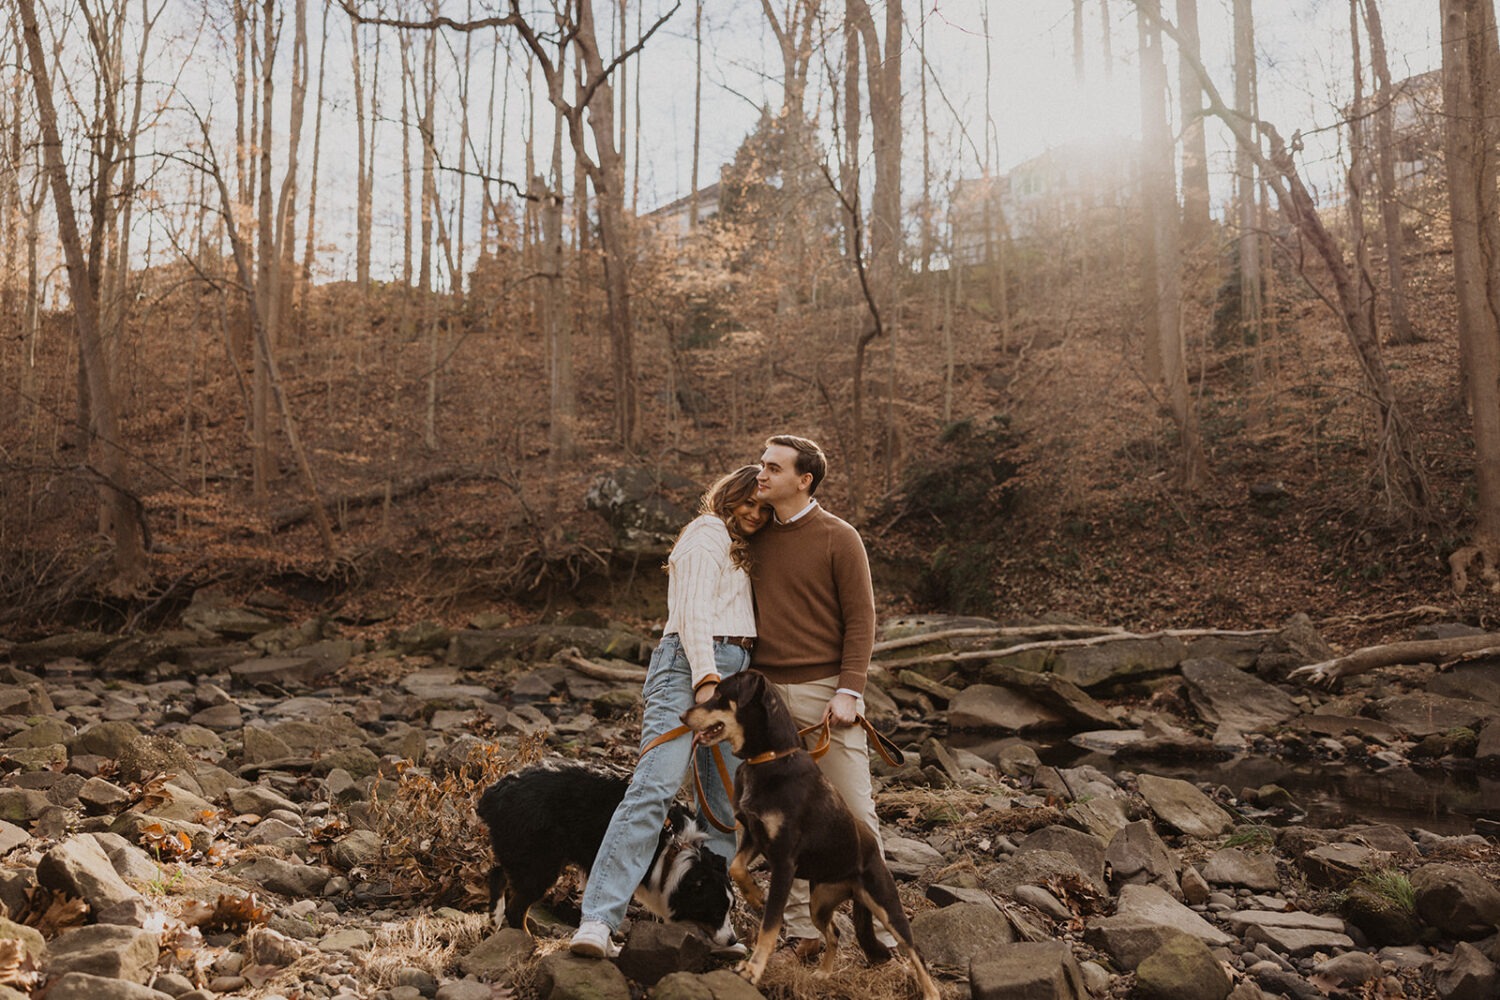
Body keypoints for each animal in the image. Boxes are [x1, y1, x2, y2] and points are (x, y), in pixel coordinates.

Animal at [474, 767, 738, 947]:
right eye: (716, 913)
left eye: (730, 910)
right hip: (541, 864)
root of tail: (495, 792)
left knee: (497, 872)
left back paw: (494, 918)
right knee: (517, 908)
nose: (733, 940)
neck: (674, 851)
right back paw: (528, 940)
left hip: (523, 852)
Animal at [681, 668, 936, 995]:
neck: (770, 758)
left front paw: (753, 970)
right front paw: (755, 896)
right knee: (835, 932)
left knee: (915, 952)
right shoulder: (754, 835)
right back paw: (824, 974)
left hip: (885, 903)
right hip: (820, 902)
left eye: (719, 695)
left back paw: (931, 992)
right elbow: (736, 867)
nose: (683, 715)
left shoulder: (784, 861)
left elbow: (770, 925)